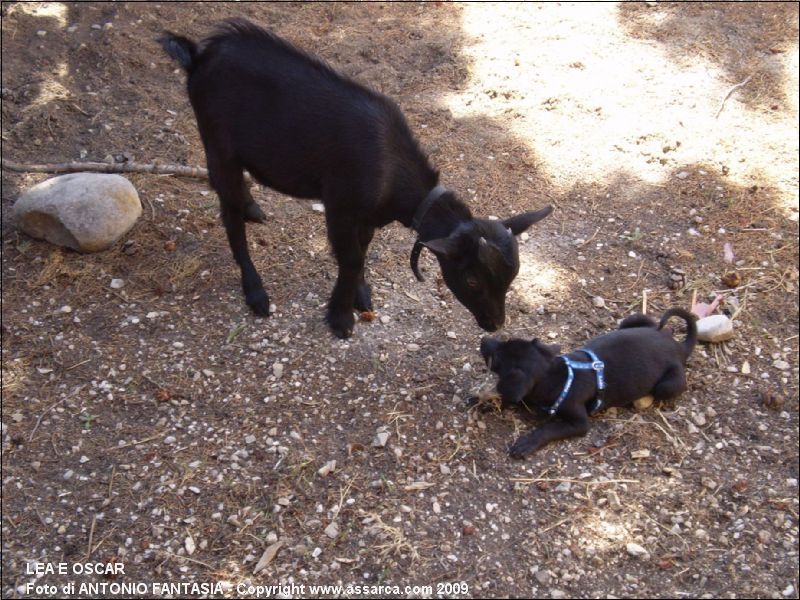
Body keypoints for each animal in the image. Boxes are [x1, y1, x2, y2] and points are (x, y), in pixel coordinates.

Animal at [162, 19, 552, 338]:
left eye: (512, 277)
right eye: (471, 279)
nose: (495, 324)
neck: (392, 177)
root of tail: (199, 55)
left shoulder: (366, 216)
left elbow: (362, 252)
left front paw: (361, 296)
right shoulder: (340, 206)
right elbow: (350, 258)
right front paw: (340, 318)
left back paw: (253, 208)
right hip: (218, 145)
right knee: (229, 217)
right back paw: (256, 292)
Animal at [478, 310, 696, 460]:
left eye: (496, 357)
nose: (483, 339)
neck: (553, 376)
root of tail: (678, 346)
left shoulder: (580, 423)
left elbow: (548, 429)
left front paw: (528, 442)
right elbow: (505, 397)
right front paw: (482, 402)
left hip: (666, 386)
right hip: (633, 320)